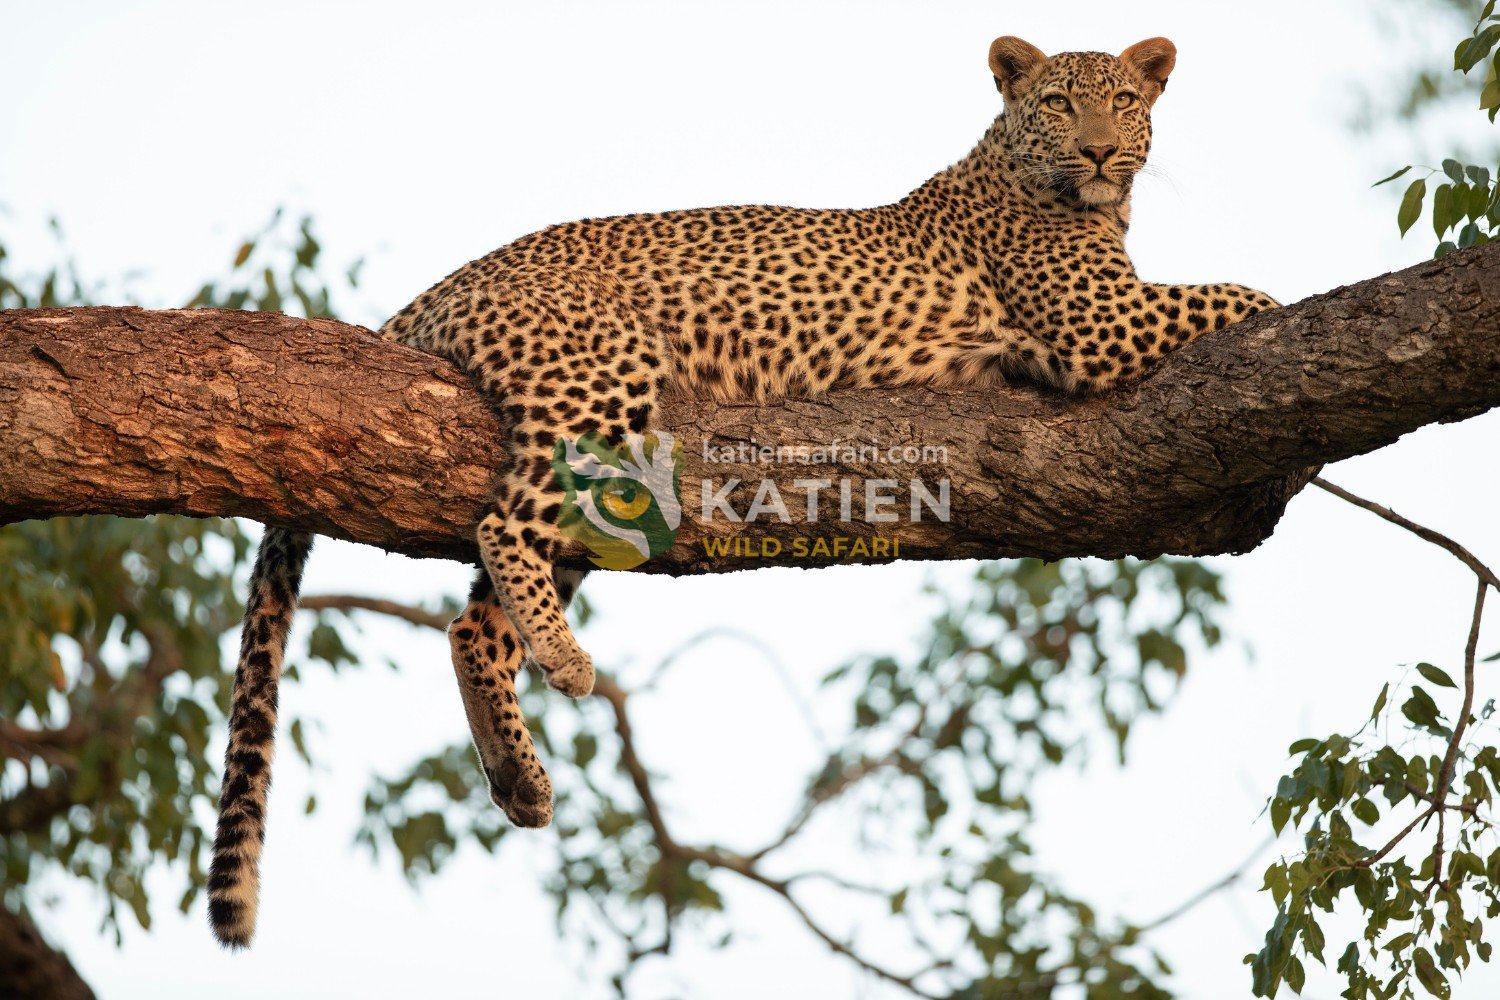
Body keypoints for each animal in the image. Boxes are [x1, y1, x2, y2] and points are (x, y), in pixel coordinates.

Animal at [207, 34, 1279, 947]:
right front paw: (1285, 310)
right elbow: (1246, 294)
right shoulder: (1101, 325)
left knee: (473, 620)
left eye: (1126, 102)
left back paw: (520, 775)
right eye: (1059, 102)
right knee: (501, 524)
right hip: (600, 377)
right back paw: (566, 664)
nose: (1100, 152)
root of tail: (434, 291)